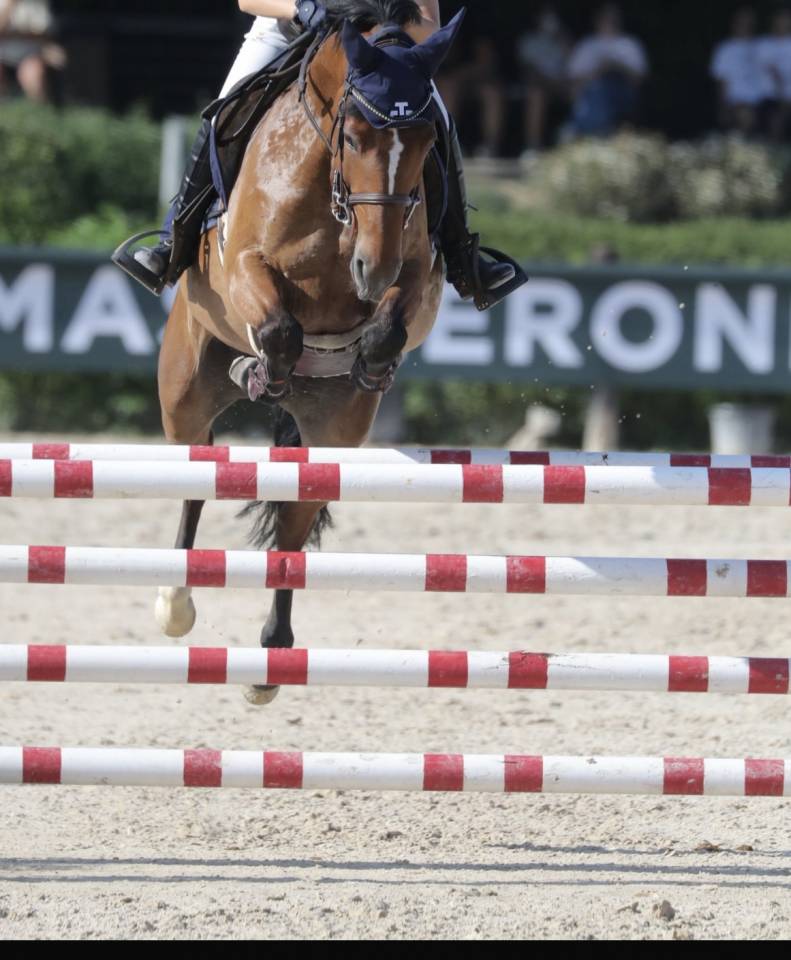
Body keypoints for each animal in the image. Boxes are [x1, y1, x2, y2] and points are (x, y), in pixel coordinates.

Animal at [154, 1, 463, 704]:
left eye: (426, 142)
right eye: (353, 134)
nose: (372, 269)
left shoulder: (419, 275)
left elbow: (387, 322)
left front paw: (371, 359)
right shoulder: (244, 264)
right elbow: (280, 329)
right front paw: (264, 368)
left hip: (334, 435)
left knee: (295, 519)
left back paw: (272, 657)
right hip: (185, 389)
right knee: (196, 474)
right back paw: (175, 601)